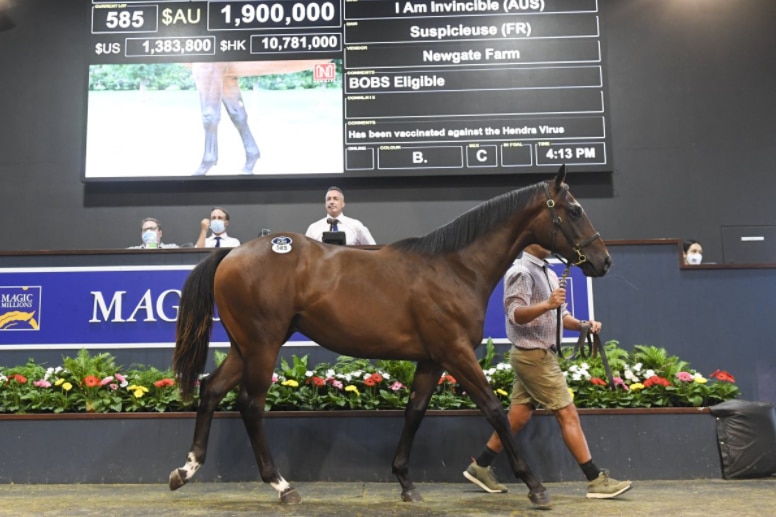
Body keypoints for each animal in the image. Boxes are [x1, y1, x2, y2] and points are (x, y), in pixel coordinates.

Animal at [168, 166, 612, 508]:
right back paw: (282, 486)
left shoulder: (432, 359)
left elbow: (414, 412)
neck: (455, 268)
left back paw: (186, 470)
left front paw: (406, 483)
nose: (603, 261)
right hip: (263, 345)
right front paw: (534, 486)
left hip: (246, 346)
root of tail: (232, 253)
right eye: (575, 210)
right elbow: (494, 410)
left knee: (212, 390)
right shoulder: (456, 353)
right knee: (250, 404)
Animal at [192, 61, 332, 175]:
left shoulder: (207, 68)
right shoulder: (227, 76)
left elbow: (210, 117)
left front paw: (204, 166)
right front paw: (250, 163)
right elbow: (238, 115)